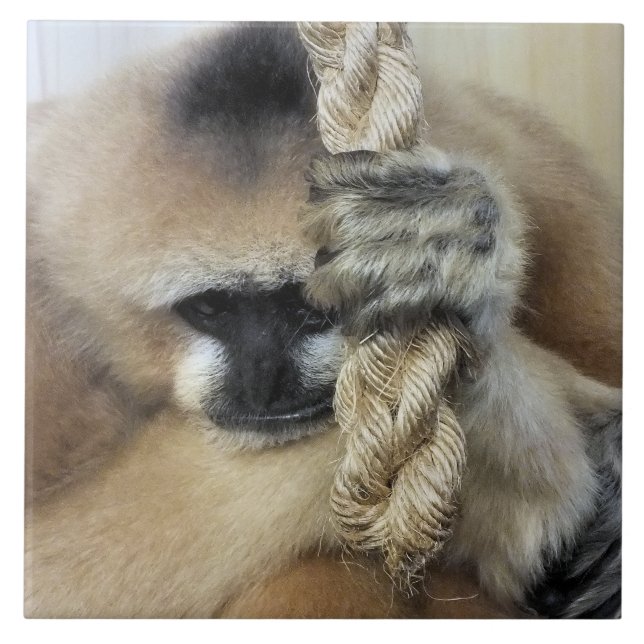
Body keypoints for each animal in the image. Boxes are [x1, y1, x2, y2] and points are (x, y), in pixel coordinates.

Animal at [24, 23, 621, 618]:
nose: (264, 379)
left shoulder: (554, 181)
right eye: (211, 307)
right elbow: (42, 574)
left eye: (308, 305)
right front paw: (511, 445)